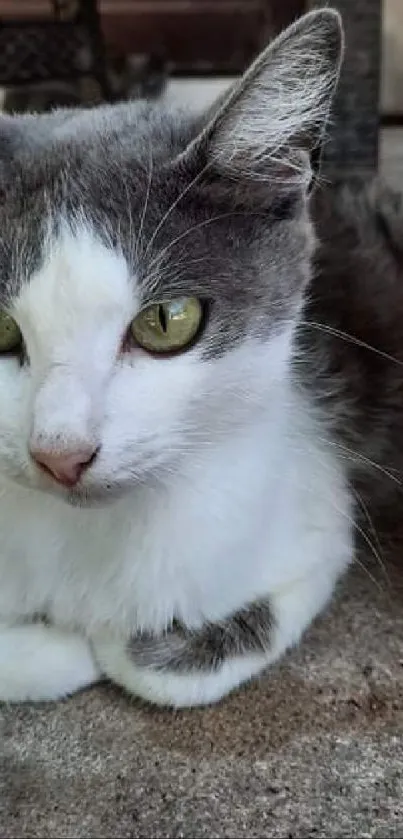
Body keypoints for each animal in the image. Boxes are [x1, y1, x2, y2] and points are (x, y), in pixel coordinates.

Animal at [0, 11, 402, 708]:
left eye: (168, 320)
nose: (60, 454)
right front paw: (56, 642)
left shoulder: (317, 512)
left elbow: (155, 666)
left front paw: (104, 643)